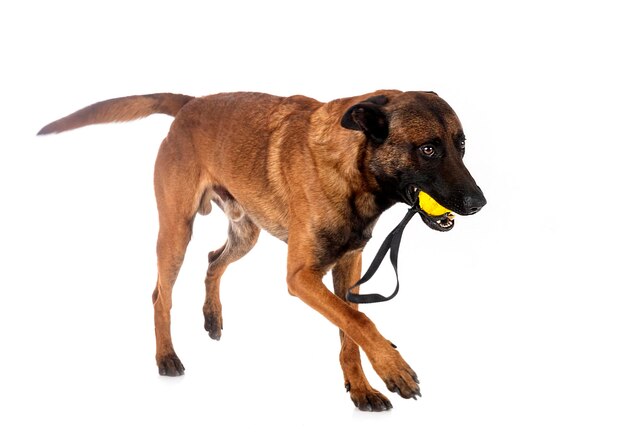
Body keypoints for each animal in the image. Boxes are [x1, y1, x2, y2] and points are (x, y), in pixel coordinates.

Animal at [37, 90, 488, 410]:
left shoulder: (347, 268)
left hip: (246, 232)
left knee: (212, 262)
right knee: (160, 295)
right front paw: (395, 369)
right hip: (176, 232)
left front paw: (361, 388)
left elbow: (349, 330)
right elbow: (359, 322)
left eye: (462, 145)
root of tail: (191, 104)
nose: (478, 202)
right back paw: (166, 356)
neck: (352, 169)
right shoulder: (301, 277)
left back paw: (212, 316)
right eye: (428, 149)